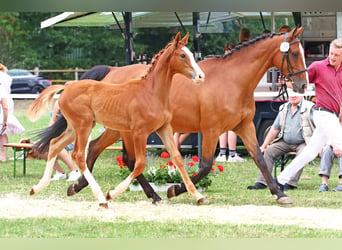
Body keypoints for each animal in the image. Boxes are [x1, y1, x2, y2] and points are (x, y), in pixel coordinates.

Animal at [26, 32, 206, 208]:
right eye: (182, 55)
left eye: (191, 54)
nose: (200, 76)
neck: (152, 93)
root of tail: (67, 87)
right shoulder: (139, 132)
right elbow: (139, 163)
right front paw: (112, 193)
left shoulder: (164, 128)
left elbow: (177, 158)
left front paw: (198, 196)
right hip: (84, 126)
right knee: (78, 155)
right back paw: (101, 198)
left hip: (75, 127)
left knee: (55, 144)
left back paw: (38, 187)